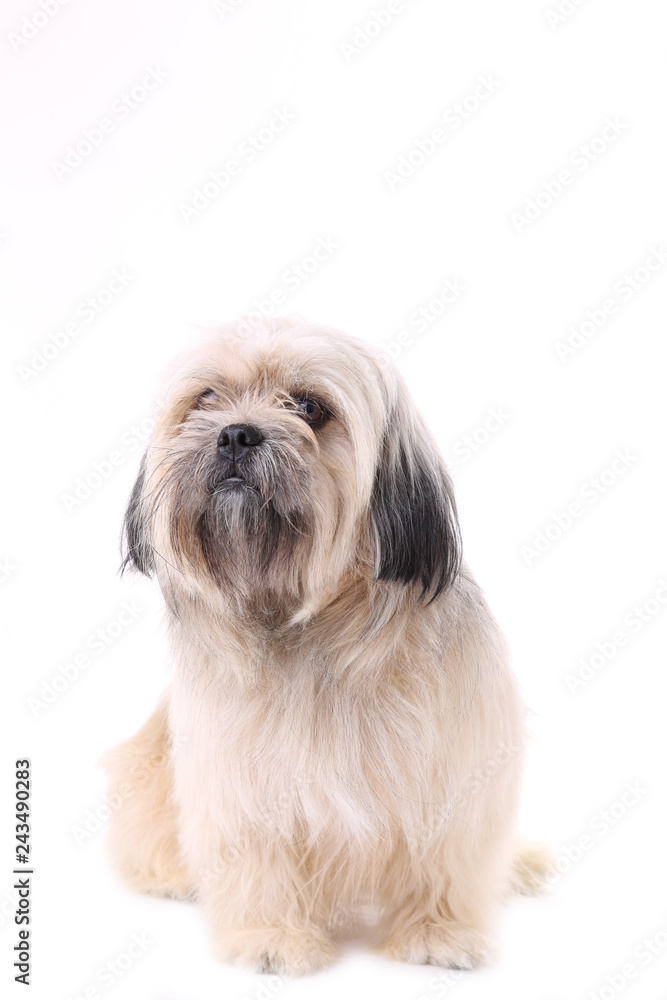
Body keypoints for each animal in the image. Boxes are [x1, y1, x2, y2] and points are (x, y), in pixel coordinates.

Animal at [102, 318, 544, 976]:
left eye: (310, 408)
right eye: (206, 399)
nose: (236, 434)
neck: (305, 621)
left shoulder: (456, 760)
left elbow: (443, 851)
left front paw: (437, 930)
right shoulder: (240, 774)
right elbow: (259, 854)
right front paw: (272, 935)